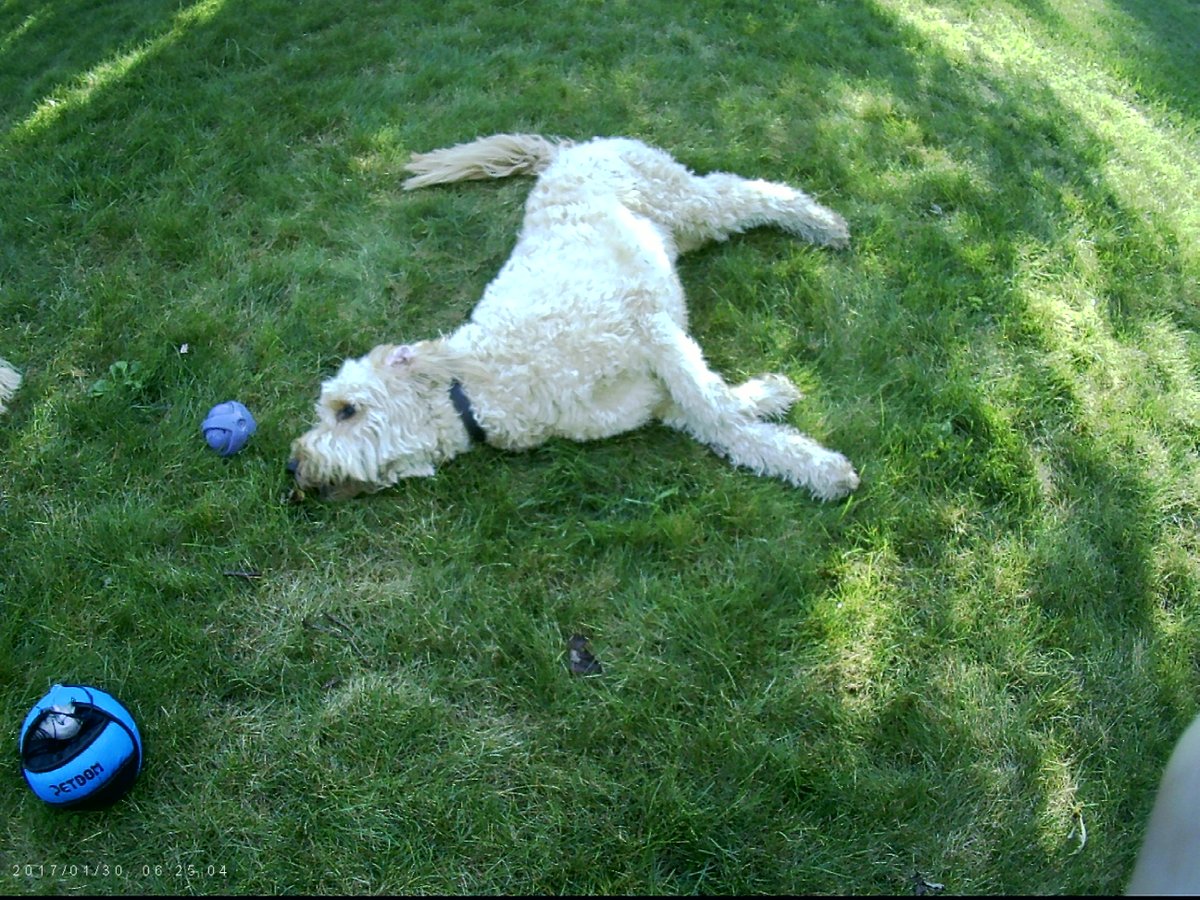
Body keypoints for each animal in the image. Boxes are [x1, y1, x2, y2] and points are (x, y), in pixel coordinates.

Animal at [286, 133, 859, 504]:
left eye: (346, 410)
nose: (292, 464)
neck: (489, 385)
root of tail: (569, 150)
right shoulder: (660, 401)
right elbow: (729, 428)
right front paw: (821, 470)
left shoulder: (649, 328)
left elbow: (715, 398)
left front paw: (770, 393)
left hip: (685, 203)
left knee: (753, 192)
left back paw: (823, 223)